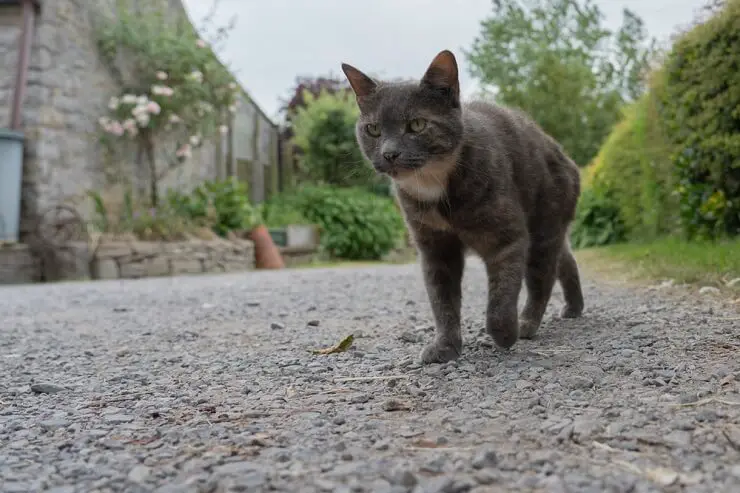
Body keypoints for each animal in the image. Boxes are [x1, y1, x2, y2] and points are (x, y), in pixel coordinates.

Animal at [342, 50, 584, 364]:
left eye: (417, 125)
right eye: (373, 129)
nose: (389, 153)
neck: (434, 185)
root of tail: (565, 157)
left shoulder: (507, 238)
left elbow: (502, 294)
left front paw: (504, 333)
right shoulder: (435, 248)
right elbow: (442, 302)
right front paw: (445, 346)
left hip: (544, 224)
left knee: (542, 276)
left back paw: (528, 323)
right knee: (565, 260)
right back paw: (574, 307)